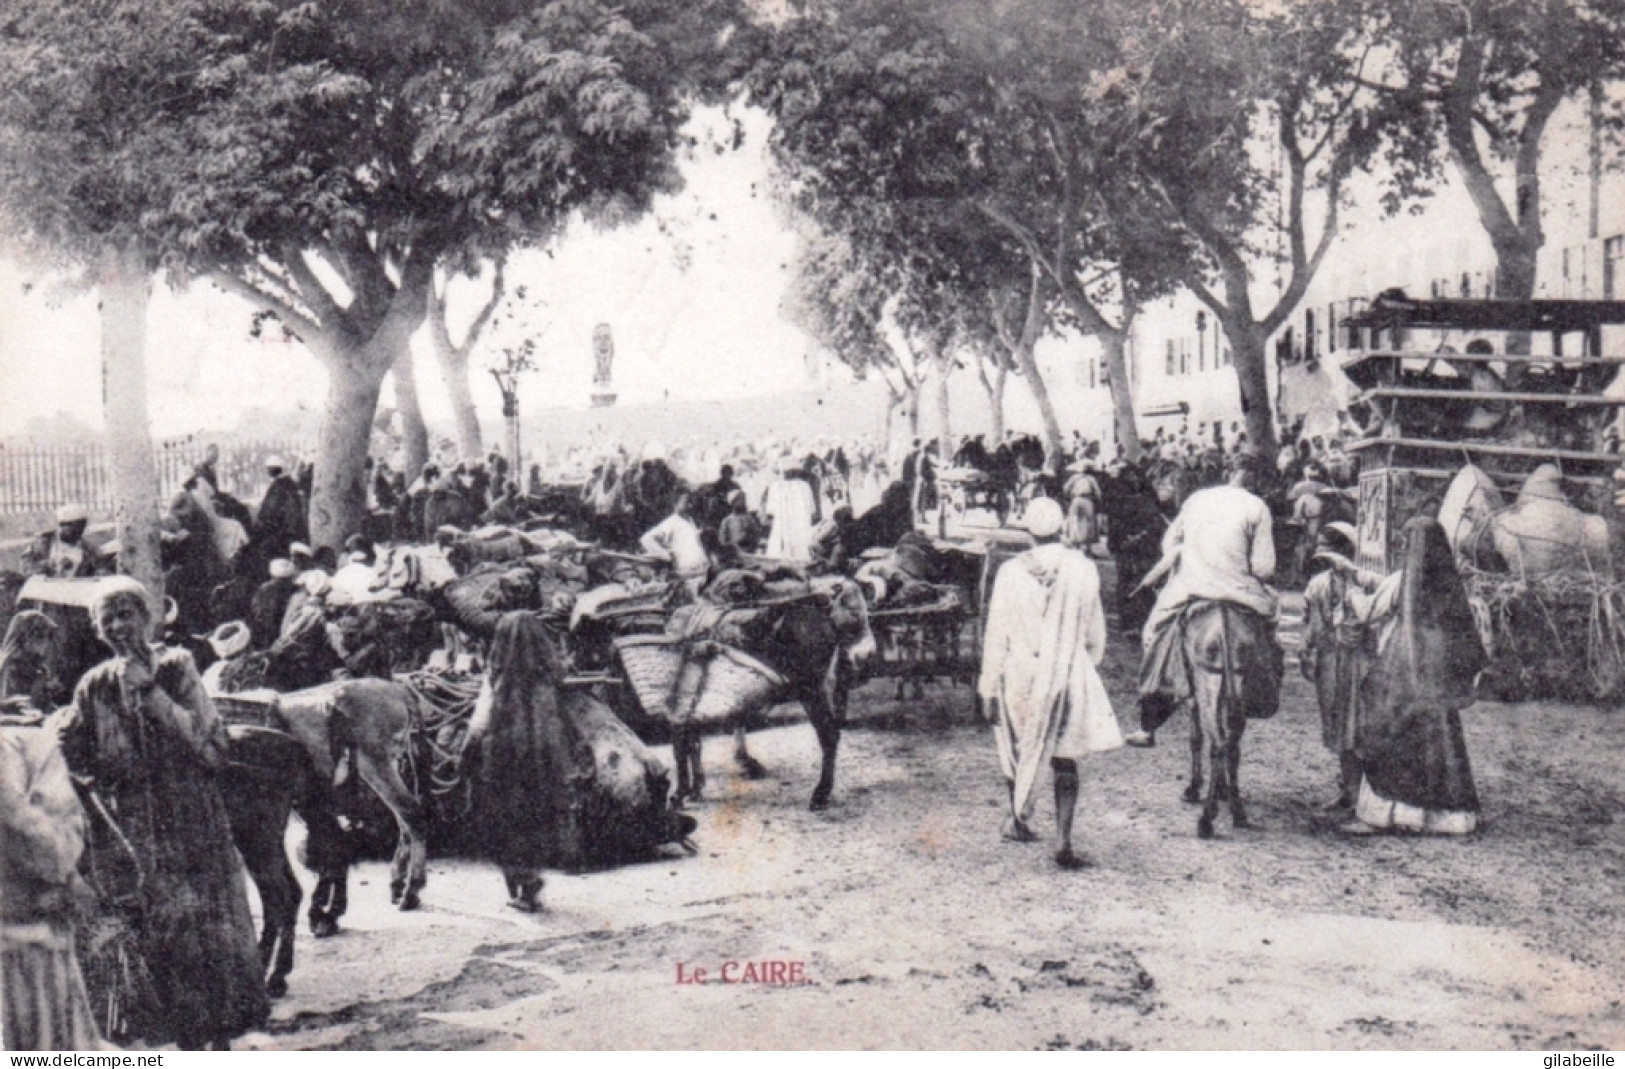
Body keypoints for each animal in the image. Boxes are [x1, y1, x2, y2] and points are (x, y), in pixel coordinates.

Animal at [1183, 594, 1280, 838]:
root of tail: (1224, 618)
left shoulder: (1194, 694)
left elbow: (1196, 738)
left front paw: (1194, 788)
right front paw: (1222, 789)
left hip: (1208, 683)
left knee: (1219, 743)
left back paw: (1206, 819)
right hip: (1237, 686)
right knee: (1231, 746)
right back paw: (1238, 811)